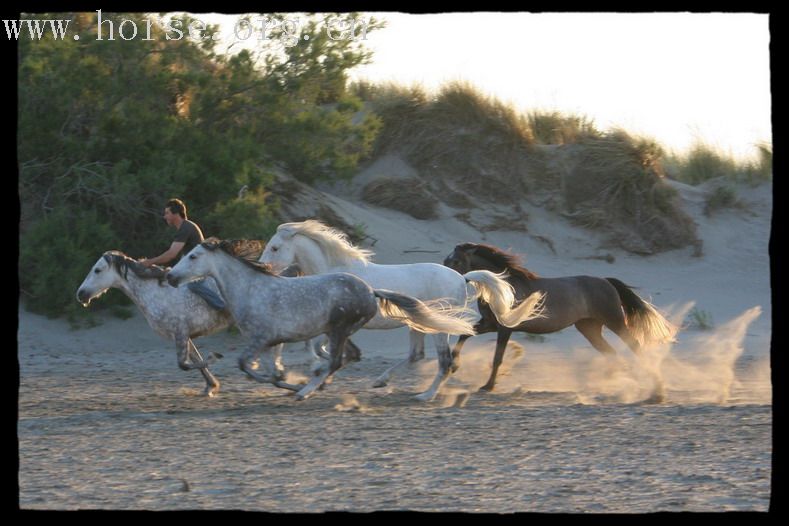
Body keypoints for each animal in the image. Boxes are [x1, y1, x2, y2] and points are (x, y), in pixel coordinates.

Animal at [169, 237, 478, 402]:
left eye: (193, 256)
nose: (171, 276)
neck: (251, 288)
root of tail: (370, 291)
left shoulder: (262, 338)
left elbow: (247, 365)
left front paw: (293, 384)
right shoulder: (271, 342)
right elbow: (269, 369)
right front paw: (287, 380)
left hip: (345, 330)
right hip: (353, 330)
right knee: (366, 356)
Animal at [258, 222, 540, 400]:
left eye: (274, 247)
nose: (261, 268)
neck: (335, 272)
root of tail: (463, 278)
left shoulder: (337, 323)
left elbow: (321, 349)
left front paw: (312, 378)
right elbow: (326, 349)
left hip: (439, 327)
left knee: (444, 361)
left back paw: (426, 395)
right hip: (419, 323)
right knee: (417, 355)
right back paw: (382, 380)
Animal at [444, 243, 676, 392]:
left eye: (456, 260)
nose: (445, 278)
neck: (502, 287)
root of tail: (606, 281)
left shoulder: (505, 328)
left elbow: (497, 357)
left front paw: (488, 386)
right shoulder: (490, 324)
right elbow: (464, 335)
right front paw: (453, 366)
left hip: (615, 322)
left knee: (634, 345)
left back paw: (653, 384)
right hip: (589, 328)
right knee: (609, 351)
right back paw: (611, 380)